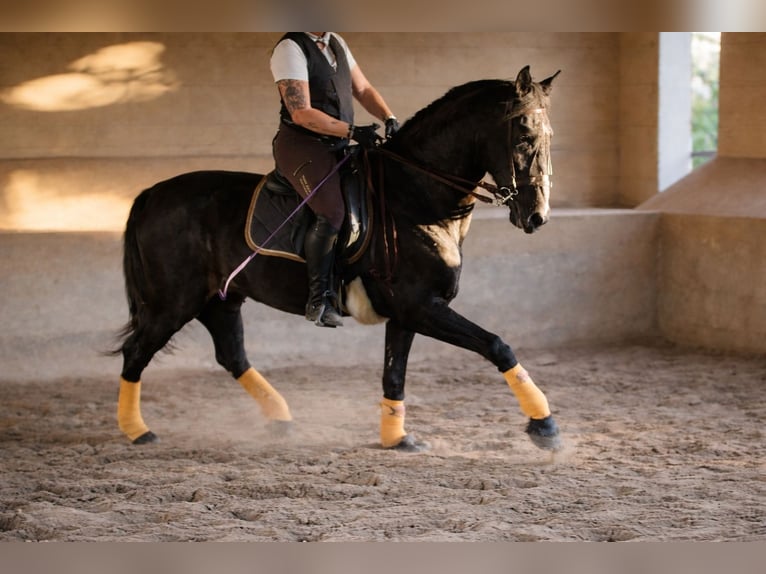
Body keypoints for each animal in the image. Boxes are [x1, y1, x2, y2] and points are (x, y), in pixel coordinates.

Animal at [114, 65, 562, 452]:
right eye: (524, 135)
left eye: (549, 135)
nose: (537, 216)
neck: (415, 197)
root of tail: (153, 193)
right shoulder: (421, 307)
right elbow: (497, 345)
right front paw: (545, 426)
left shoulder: (409, 312)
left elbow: (394, 375)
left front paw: (397, 439)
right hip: (172, 303)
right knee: (136, 354)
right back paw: (138, 431)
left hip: (220, 299)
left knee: (231, 355)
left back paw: (281, 420)